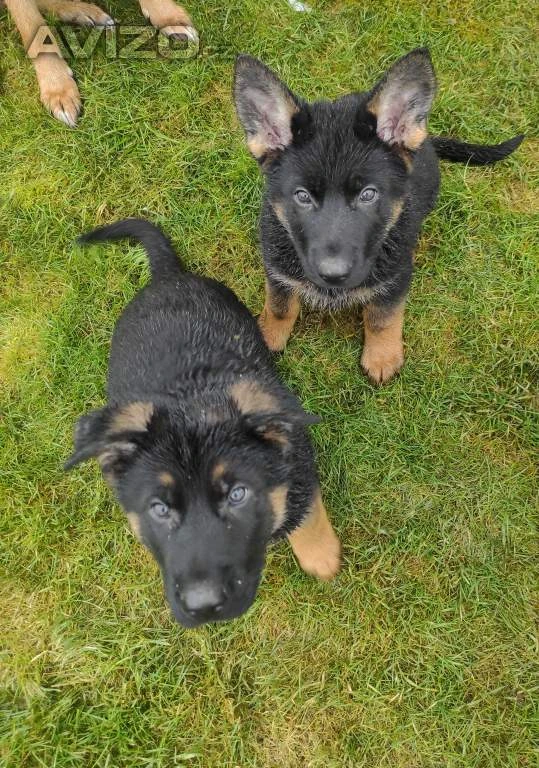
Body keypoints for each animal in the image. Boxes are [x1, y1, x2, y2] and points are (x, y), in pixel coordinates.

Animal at [65, 218, 340, 628]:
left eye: (238, 494)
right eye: (158, 509)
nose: (204, 607)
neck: (192, 399)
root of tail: (168, 276)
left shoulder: (299, 466)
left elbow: (307, 516)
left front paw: (322, 556)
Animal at [233, 48, 524, 384]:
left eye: (368, 194)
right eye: (302, 196)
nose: (333, 275)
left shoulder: (396, 276)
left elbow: (382, 316)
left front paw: (382, 355)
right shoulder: (277, 270)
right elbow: (280, 306)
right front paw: (267, 338)